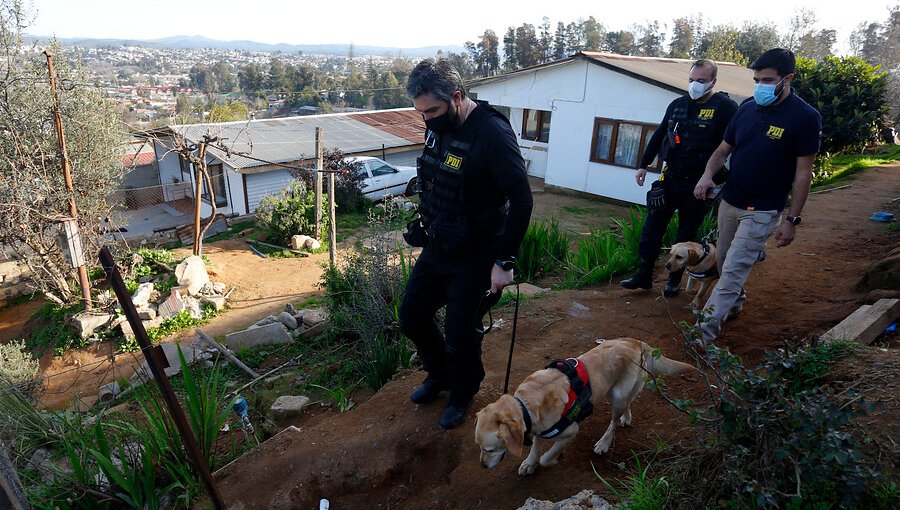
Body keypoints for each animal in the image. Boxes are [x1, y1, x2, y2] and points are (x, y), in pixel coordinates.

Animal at [474, 338, 692, 474]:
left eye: (490, 449)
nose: (482, 466)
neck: (526, 405)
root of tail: (636, 341)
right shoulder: (537, 428)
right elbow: (535, 445)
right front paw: (529, 463)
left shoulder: (570, 431)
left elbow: (547, 456)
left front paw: (551, 459)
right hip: (618, 389)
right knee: (629, 402)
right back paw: (626, 417)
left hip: (618, 395)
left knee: (613, 423)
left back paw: (604, 443)